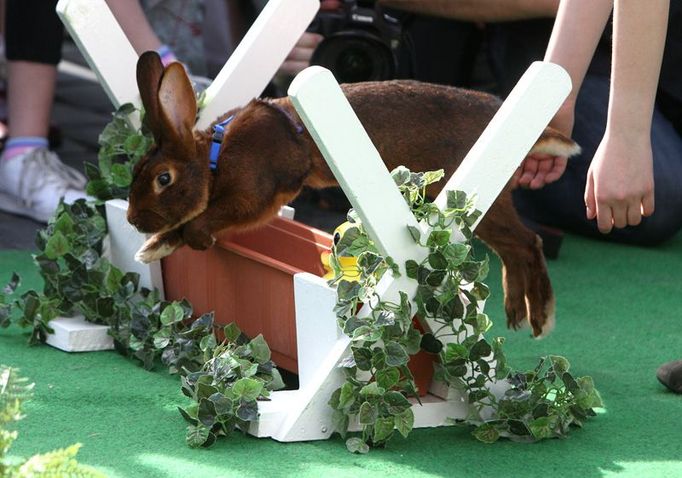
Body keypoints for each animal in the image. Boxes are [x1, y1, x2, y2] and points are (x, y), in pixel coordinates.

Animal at [127, 51, 580, 336]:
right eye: (135, 172)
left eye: (163, 179)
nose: (133, 220)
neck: (215, 157)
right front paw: (151, 249)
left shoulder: (256, 195)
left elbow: (202, 220)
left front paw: (163, 245)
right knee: (514, 248)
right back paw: (517, 315)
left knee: (529, 241)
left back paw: (542, 320)